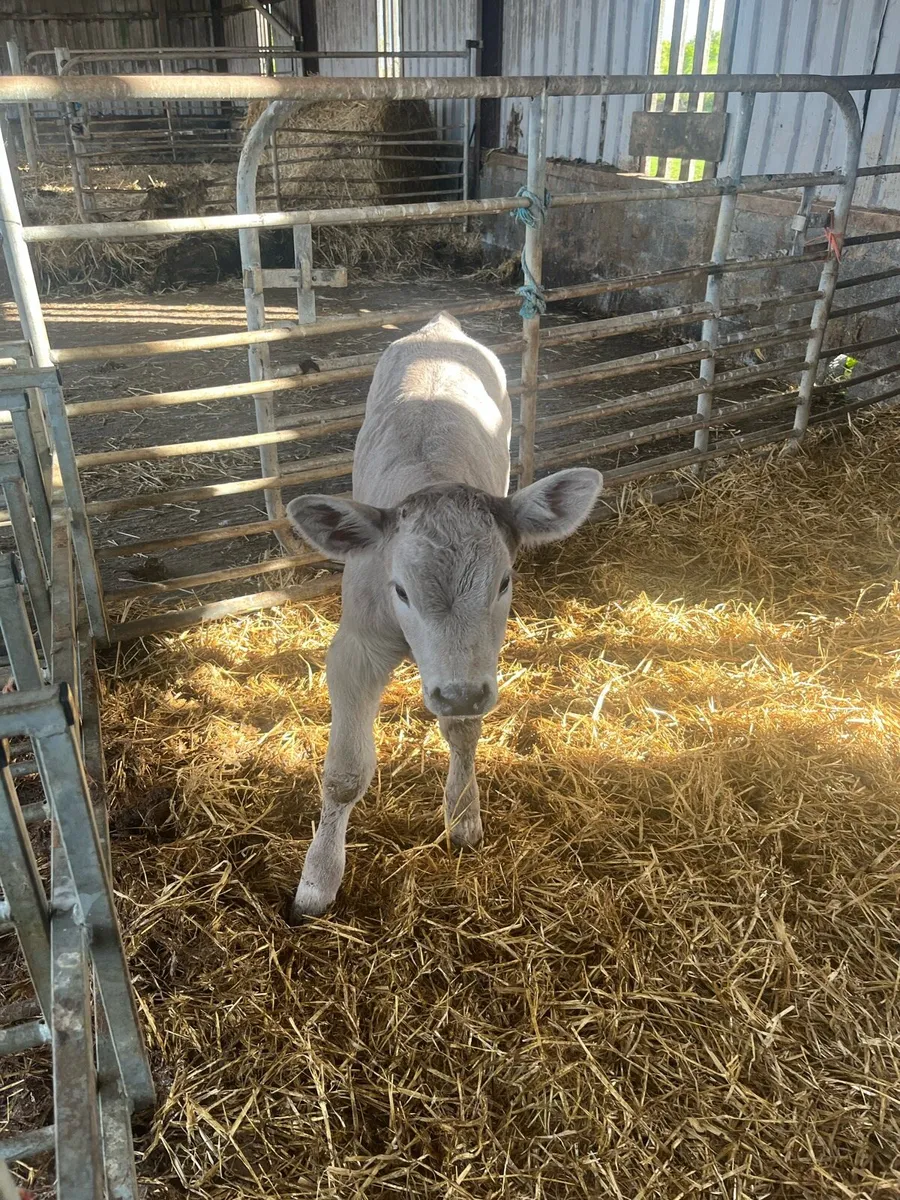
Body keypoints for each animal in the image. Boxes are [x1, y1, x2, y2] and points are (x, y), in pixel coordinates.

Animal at [286, 312, 602, 919]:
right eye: (400, 590)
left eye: (504, 582)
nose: (456, 692)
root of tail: (440, 324)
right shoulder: (356, 645)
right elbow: (344, 774)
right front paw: (317, 879)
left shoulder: (479, 666)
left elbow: (462, 731)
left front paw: (463, 817)